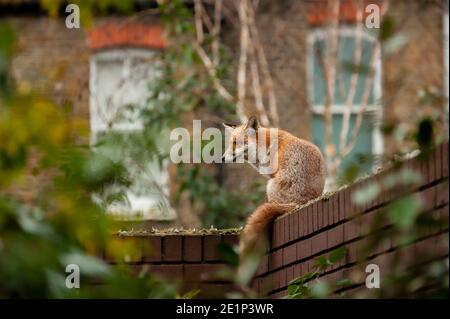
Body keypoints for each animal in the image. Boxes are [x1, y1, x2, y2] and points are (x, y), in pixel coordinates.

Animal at [223, 116, 326, 262]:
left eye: (236, 143)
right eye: (230, 143)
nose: (222, 158)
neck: (266, 145)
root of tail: (300, 203)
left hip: (269, 186)